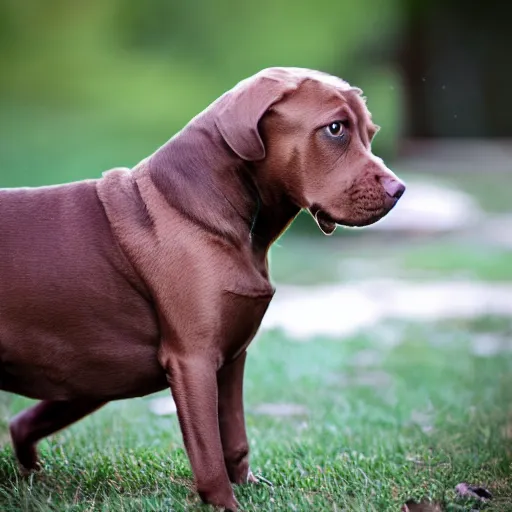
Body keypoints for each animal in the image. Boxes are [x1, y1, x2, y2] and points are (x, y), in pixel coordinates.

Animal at [1, 67, 404, 508]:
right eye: (335, 129)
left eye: (370, 132)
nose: (399, 190)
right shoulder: (192, 360)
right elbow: (208, 451)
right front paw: (226, 504)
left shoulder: (231, 358)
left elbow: (235, 439)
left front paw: (248, 487)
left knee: (22, 425)